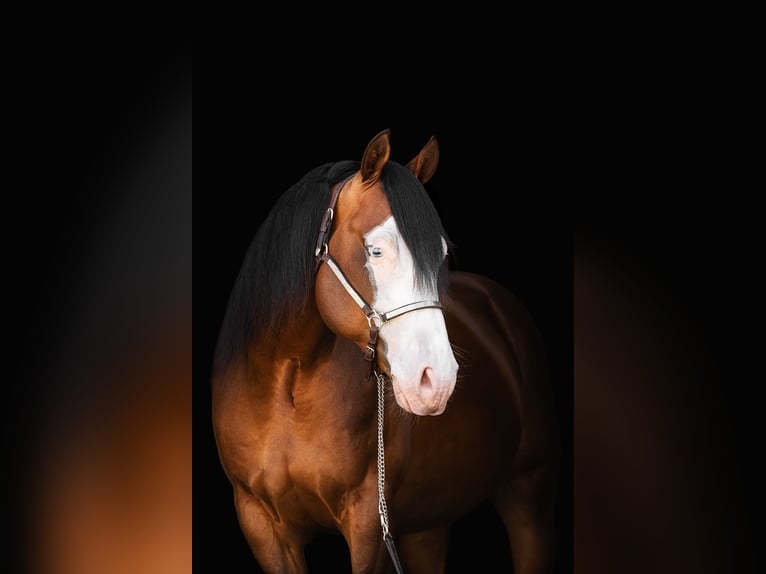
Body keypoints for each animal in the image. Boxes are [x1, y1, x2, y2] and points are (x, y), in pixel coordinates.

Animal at [211, 129, 559, 573]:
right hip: (427, 525)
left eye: (441, 254)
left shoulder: (369, 523)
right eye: (376, 251)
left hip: (528, 495)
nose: (436, 380)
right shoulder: (261, 522)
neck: (287, 388)